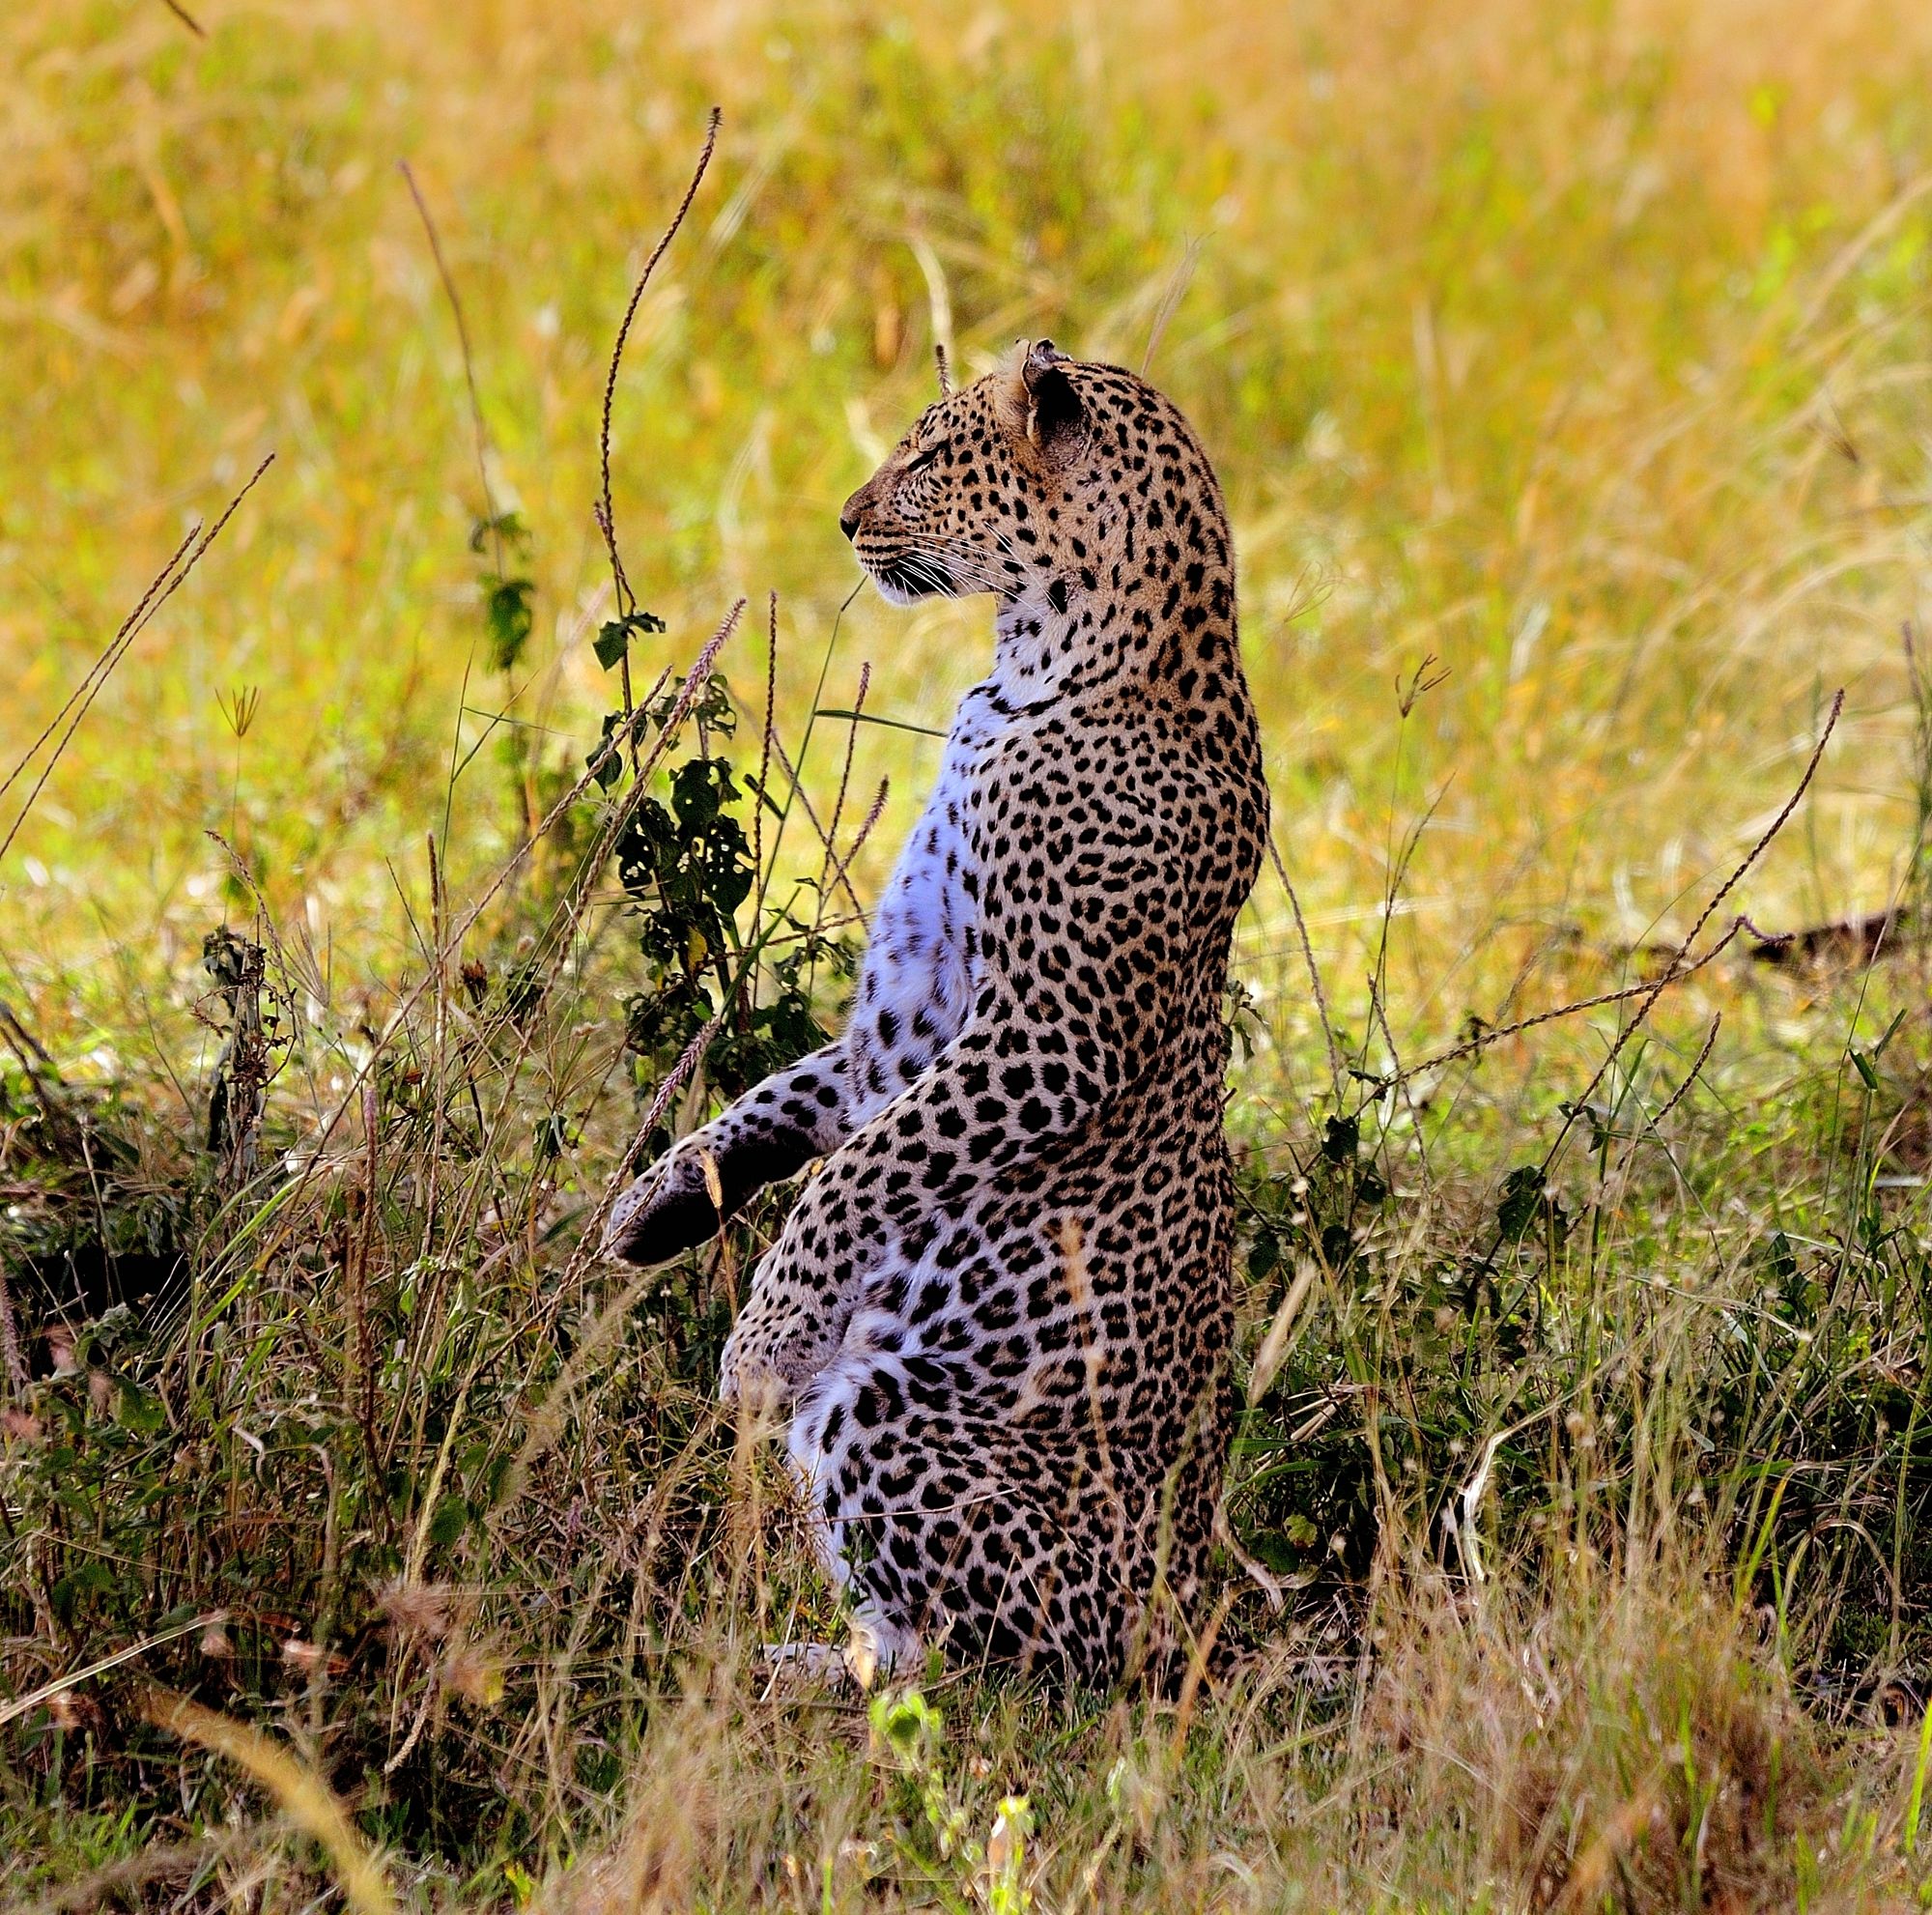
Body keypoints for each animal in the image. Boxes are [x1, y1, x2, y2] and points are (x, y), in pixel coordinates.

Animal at [604, 340, 1269, 1687]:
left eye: (927, 454)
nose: (844, 517)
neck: (1025, 668)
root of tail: (1184, 1613)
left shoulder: (1047, 1037)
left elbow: (856, 1173)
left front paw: (760, 1346)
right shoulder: (902, 1029)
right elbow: (787, 1108)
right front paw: (656, 1205)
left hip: (892, 1416)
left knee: (972, 1668)